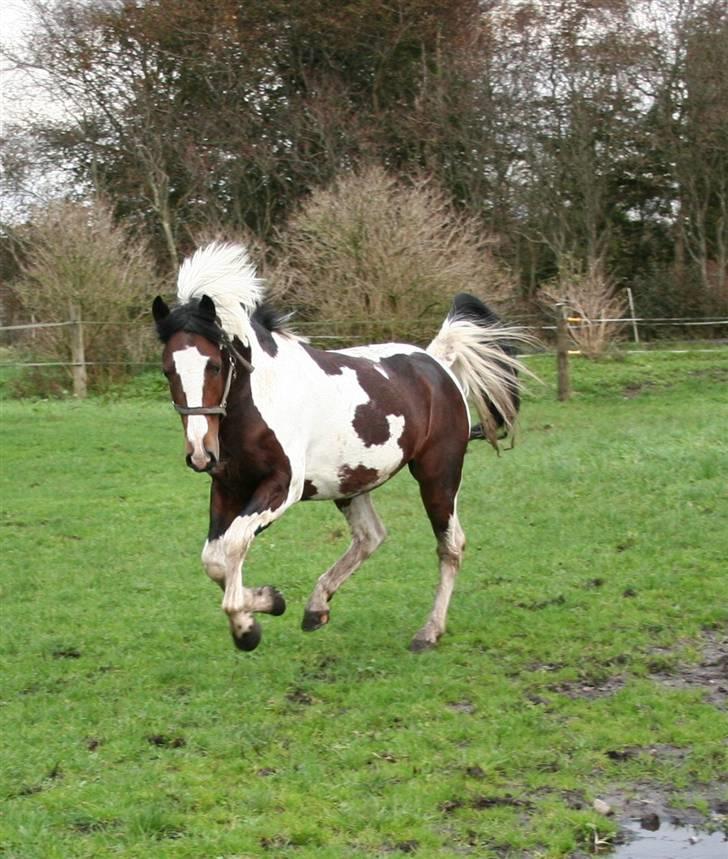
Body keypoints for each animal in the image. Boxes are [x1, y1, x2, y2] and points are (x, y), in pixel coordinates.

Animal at [154, 242, 528, 652]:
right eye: (168, 370)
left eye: (215, 366)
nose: (200, 453)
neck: (260, 400)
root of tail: (436, 362)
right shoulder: (228, 487)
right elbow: (214, 560)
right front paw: (269, 602)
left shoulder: (281, 487)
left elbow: (233, 545)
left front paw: (247, 629)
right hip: (350, 481)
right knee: (371, 536)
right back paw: (316, 608)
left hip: (438, 474)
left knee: (450, 545)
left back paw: (428, 632)